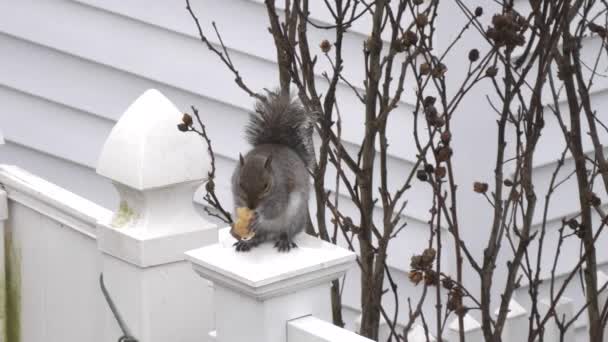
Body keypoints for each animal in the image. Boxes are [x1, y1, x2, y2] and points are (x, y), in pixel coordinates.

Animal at [232, 92, 316, 252]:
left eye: (266, 185)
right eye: (240, 184)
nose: (251, 207)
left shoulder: (281, 193)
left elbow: (275, 210)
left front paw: (259, 217)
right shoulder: (237, 196)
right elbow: (239, 203)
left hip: (295, 216)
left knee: (287, 231)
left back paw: (284, 239)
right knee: (261, 236)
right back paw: (249, 241)